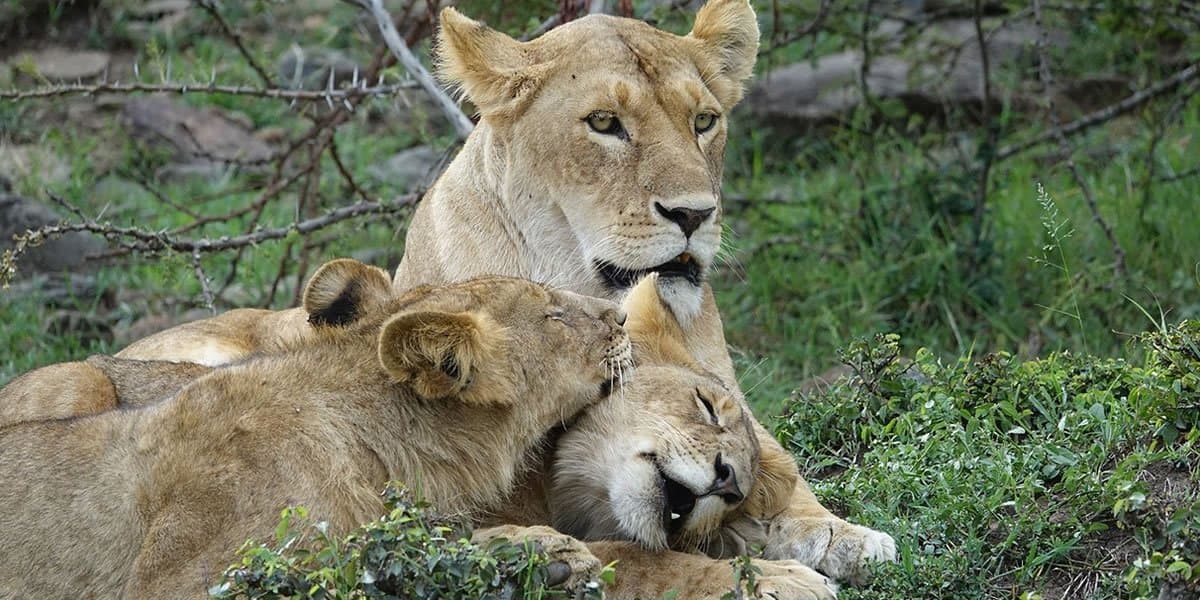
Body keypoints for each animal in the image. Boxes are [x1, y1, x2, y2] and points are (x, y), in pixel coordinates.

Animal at [0, 259, 634, 599]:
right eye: (553, 313)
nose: (625, 315)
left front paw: (544, 557)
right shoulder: (175, 582)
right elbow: (347, 570)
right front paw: (540, 555)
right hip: (79, 380)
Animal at [50, 0, 896, 583]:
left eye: (706, 122)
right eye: (604, 123)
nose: (694, 215)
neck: (576, 276)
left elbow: (781, 462)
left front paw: (839, 532)